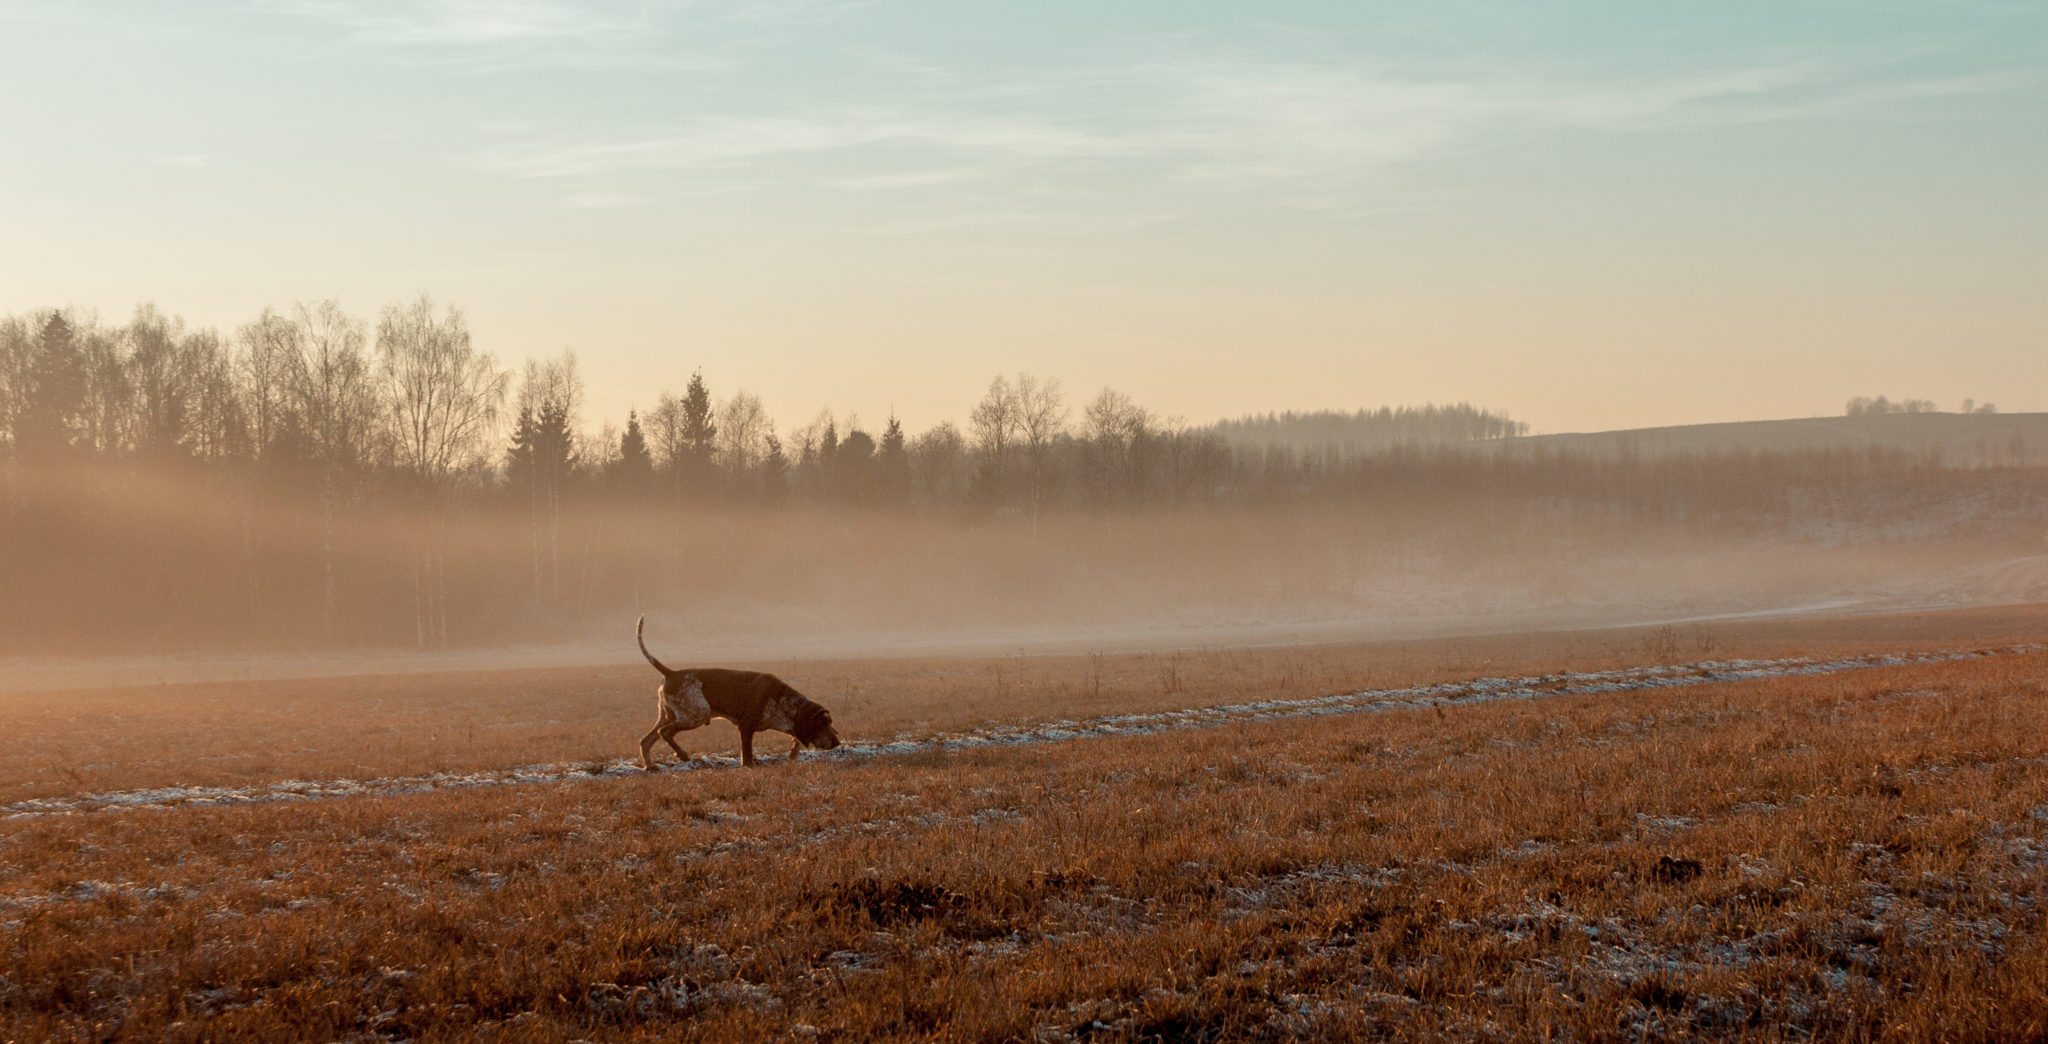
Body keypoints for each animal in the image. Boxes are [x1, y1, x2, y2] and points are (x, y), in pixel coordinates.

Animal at [630, 614, 839, 769]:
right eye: (823, 723)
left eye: (830, 723)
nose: (837, 742)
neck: (782, 700)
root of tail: (671, 673)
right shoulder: (746, 727)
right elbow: (747, 755)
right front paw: (749, 766)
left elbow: (795, 741)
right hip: (696, 714)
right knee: (664, 733)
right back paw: (682, 755)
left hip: (668, 715)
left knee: (646, 740)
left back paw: (651, 766)